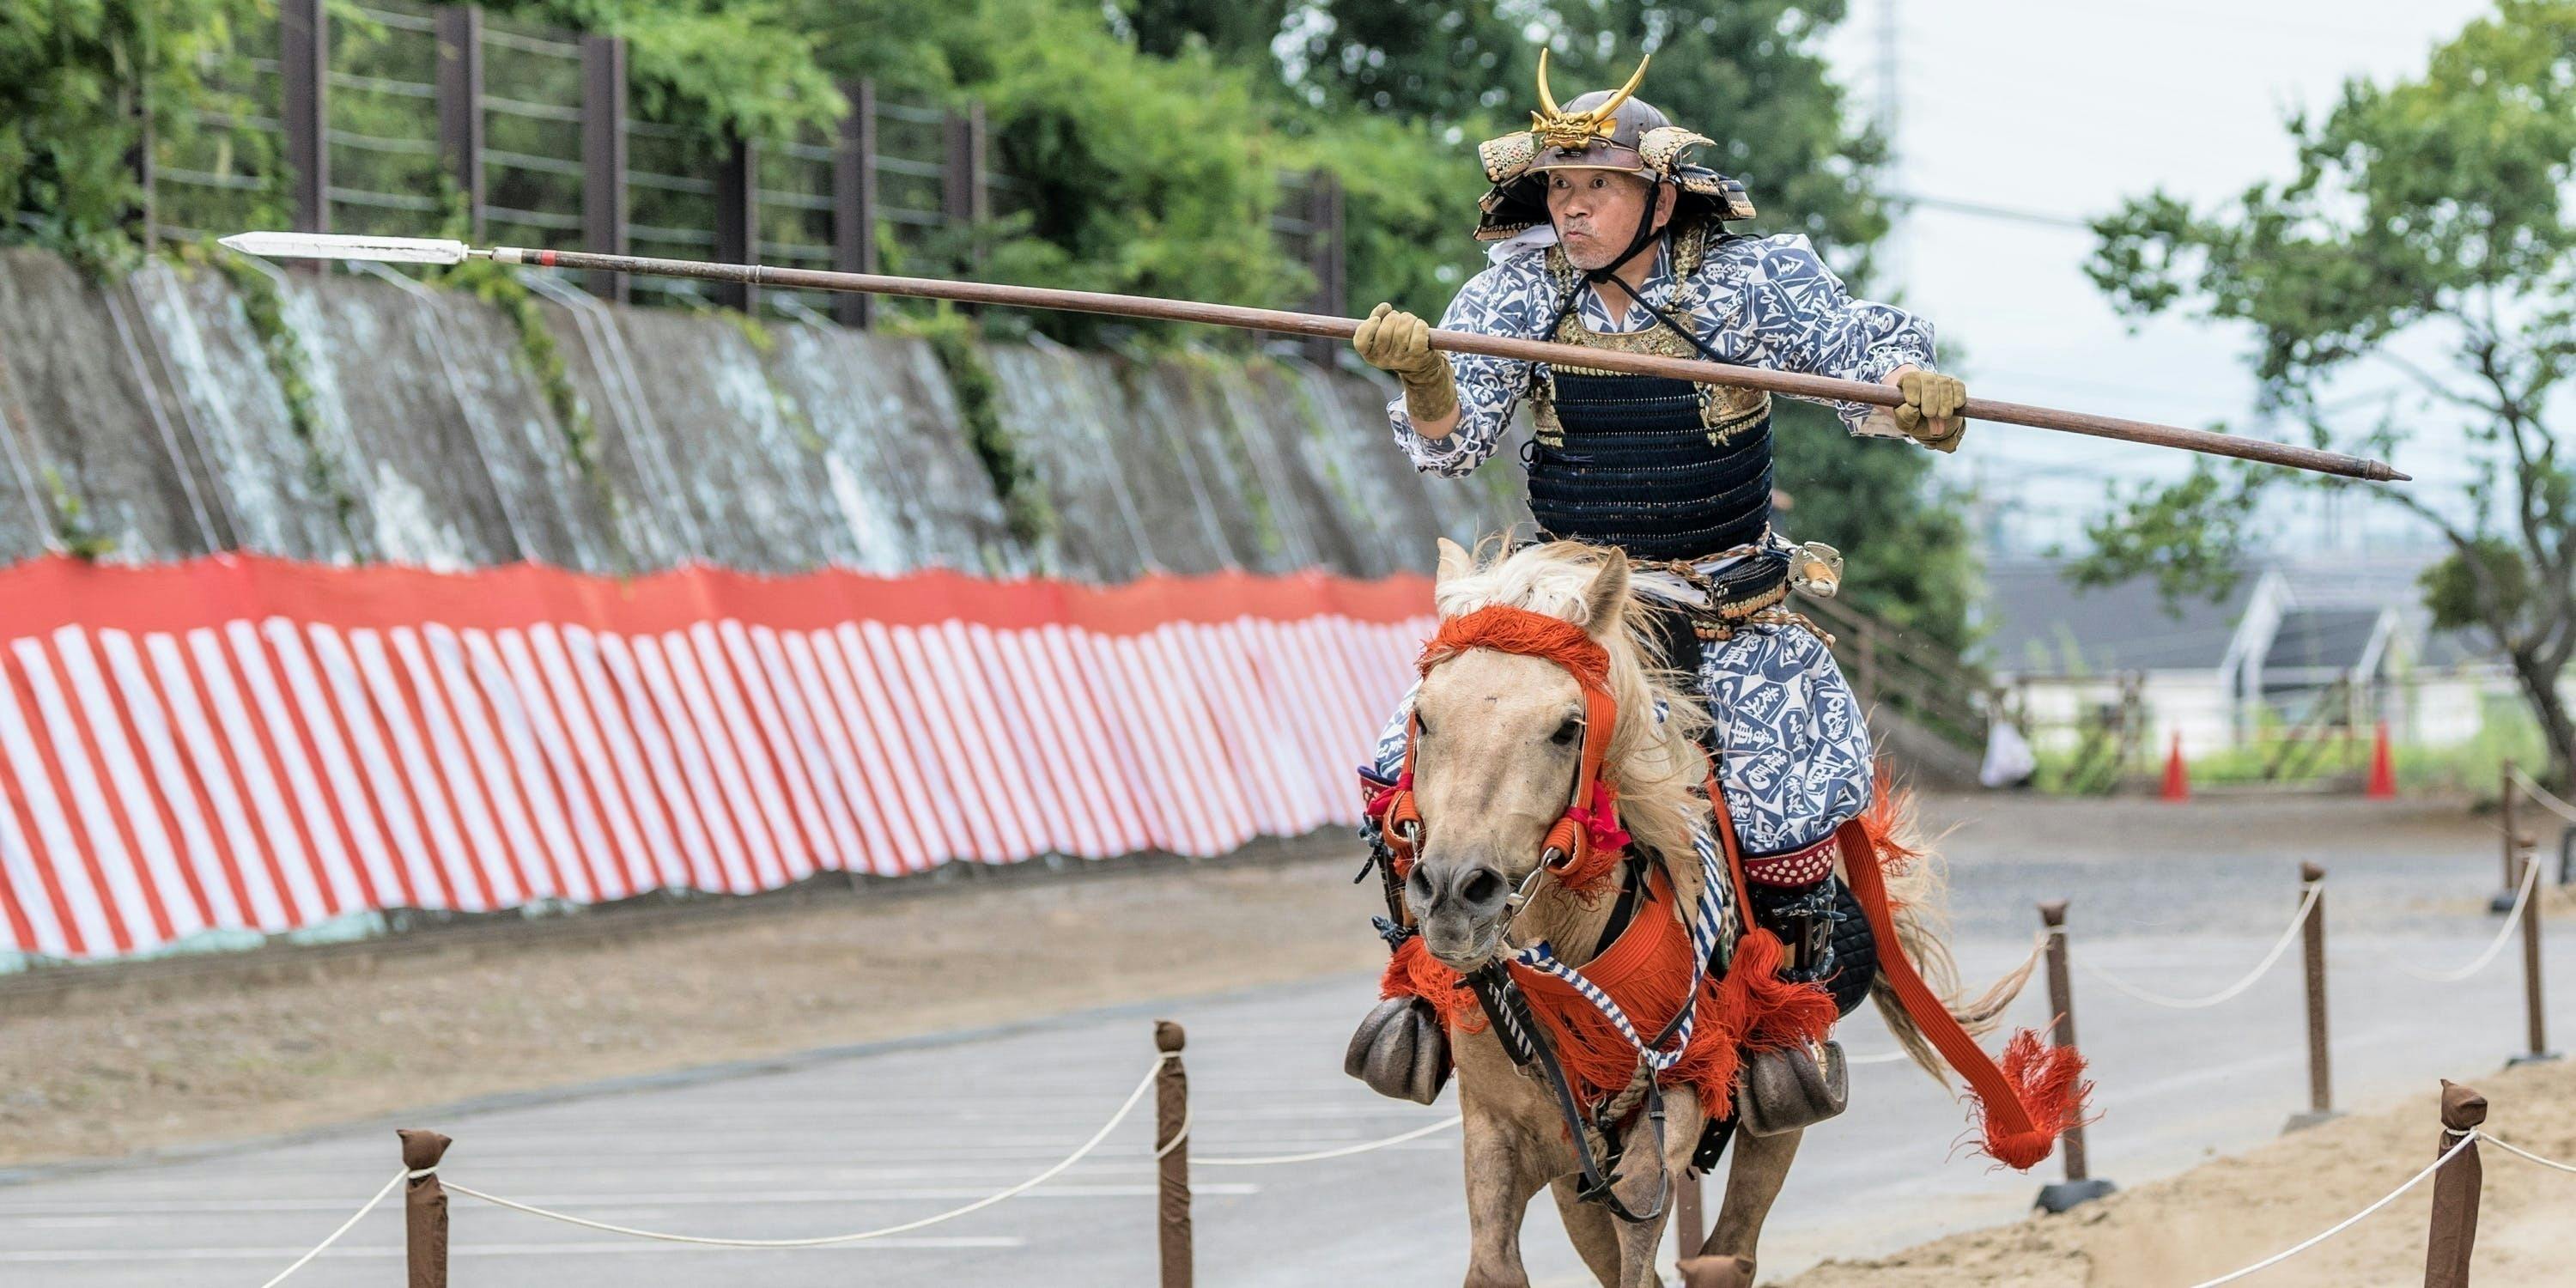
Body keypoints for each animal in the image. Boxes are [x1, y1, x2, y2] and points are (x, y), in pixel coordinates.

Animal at [1381, 536, 2061, 1288]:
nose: (1454, 892)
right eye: (1423, 718)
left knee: (1730, 1249)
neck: (1565, 946)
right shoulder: (1501, 1124)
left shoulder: (1674, 1097)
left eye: (1567, 729)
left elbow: (1641, 1251)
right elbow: (1499, 1268)